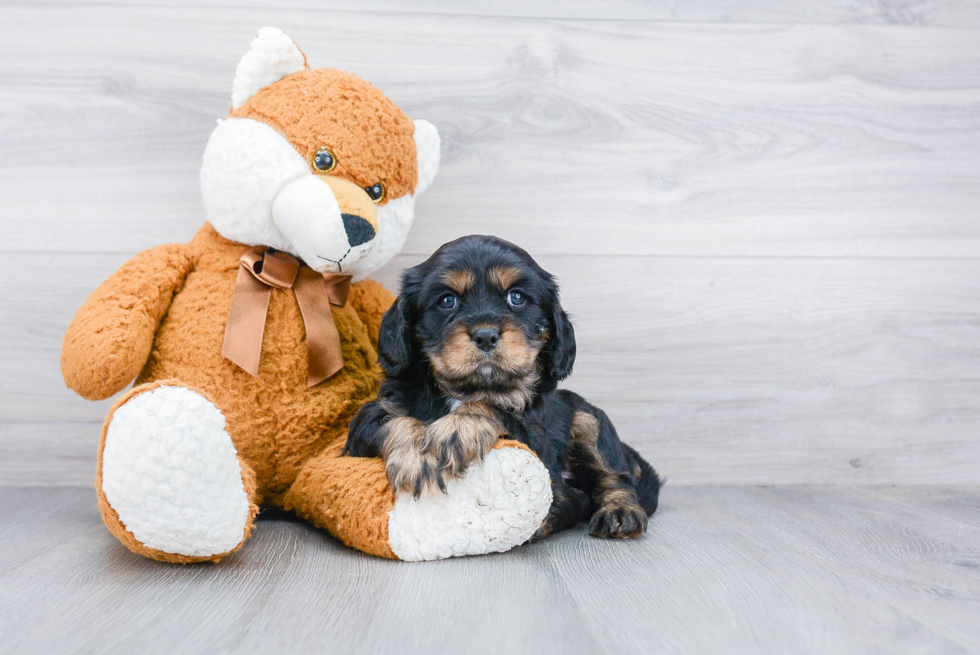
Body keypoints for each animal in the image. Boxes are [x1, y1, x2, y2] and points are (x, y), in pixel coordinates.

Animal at [344, 234, 660, 540]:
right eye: (447, 300)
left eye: (516, 297)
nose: (485, 335)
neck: (465, 389)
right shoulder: (364, 425)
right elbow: (392, 420)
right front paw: (417, 457)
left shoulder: (538, 441)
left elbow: (494, 407)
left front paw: (458, 427)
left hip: (589, 421)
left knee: (612, 480)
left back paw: (619, 513)